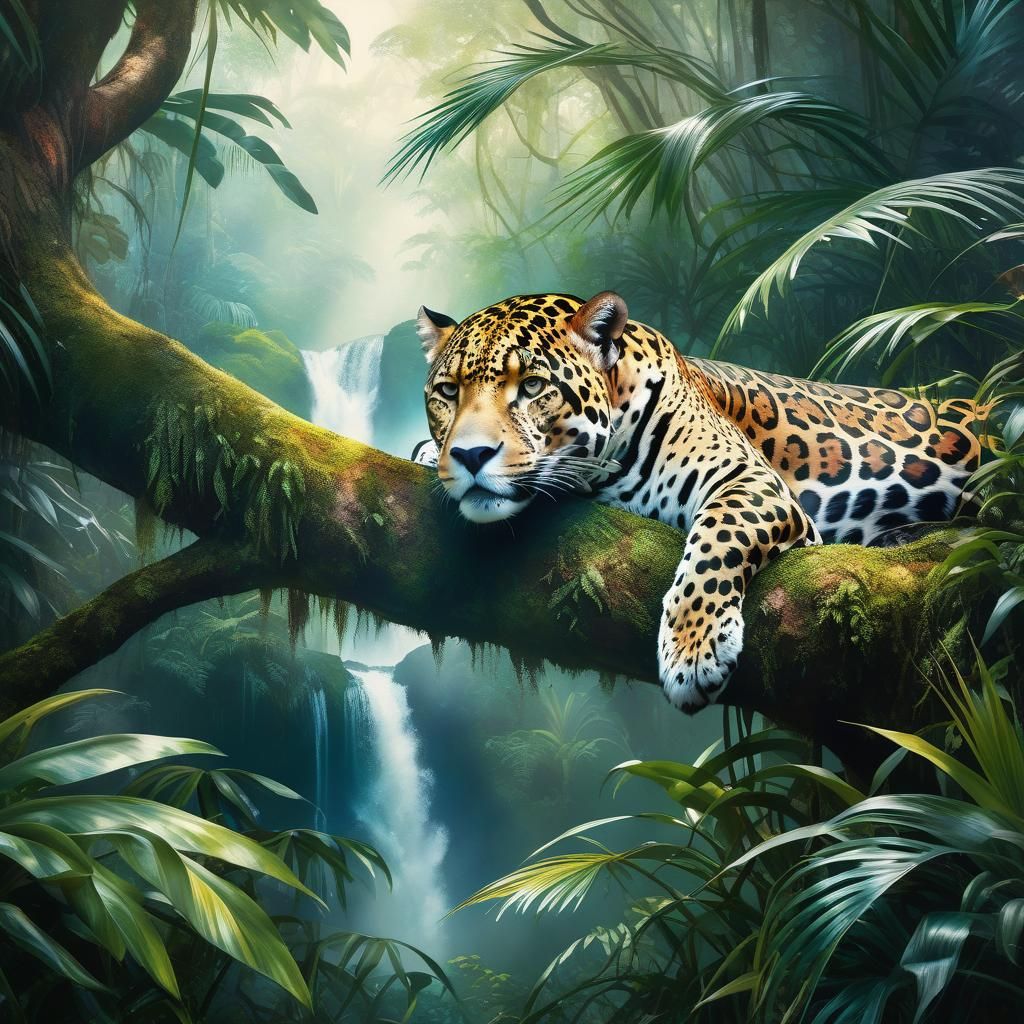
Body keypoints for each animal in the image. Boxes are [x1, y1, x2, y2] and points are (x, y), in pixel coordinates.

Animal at [414, 291, 982, 711]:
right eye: (447, 392)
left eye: (532, 386)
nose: (470, 455)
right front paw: (429, 452)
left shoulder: (751, 480)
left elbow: (715, 539)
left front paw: (693, 650)